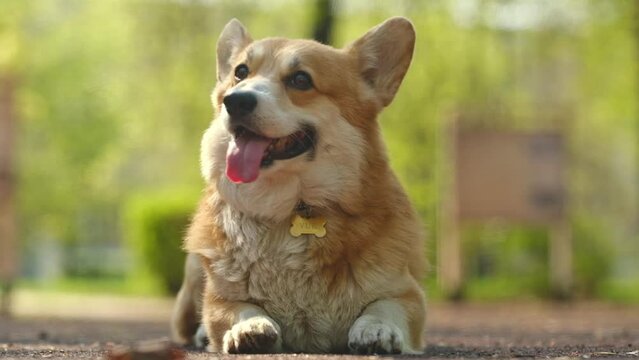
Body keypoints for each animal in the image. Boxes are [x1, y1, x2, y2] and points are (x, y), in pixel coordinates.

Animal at [172, 16, 428, 354]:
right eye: (241, 72)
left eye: (301, 80)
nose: (235, 101)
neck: (293, 208)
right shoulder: (220, 298)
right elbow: (235, 308)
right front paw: (249, 327)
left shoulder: (406, 293)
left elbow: (384, 306)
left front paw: (378, 330)